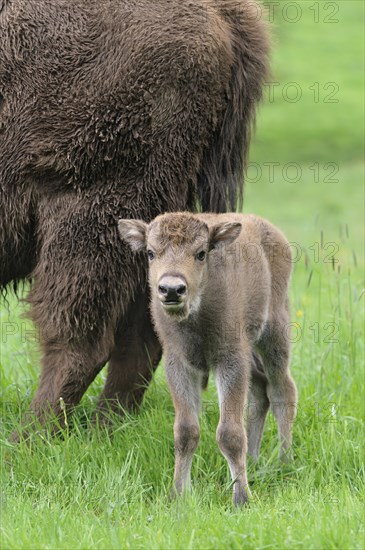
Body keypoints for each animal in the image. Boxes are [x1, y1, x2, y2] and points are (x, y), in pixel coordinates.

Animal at [0, 0, 268, 438]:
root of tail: (222, 12)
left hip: (88, 211)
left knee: (79, 336)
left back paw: (29, 439)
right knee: (145, 331)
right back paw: (104, 428)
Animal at [118, 213, 298, 506]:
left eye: (201, 253)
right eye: (150, 253)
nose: (171, 289)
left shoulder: (230, 360)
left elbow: (230, 434)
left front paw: (242, 499)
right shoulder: (179, 364)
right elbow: (186, 432)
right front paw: (177, 495)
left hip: (274, 335)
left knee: (282, 390)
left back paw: (285, 462)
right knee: (260, 392)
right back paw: (254, 460)